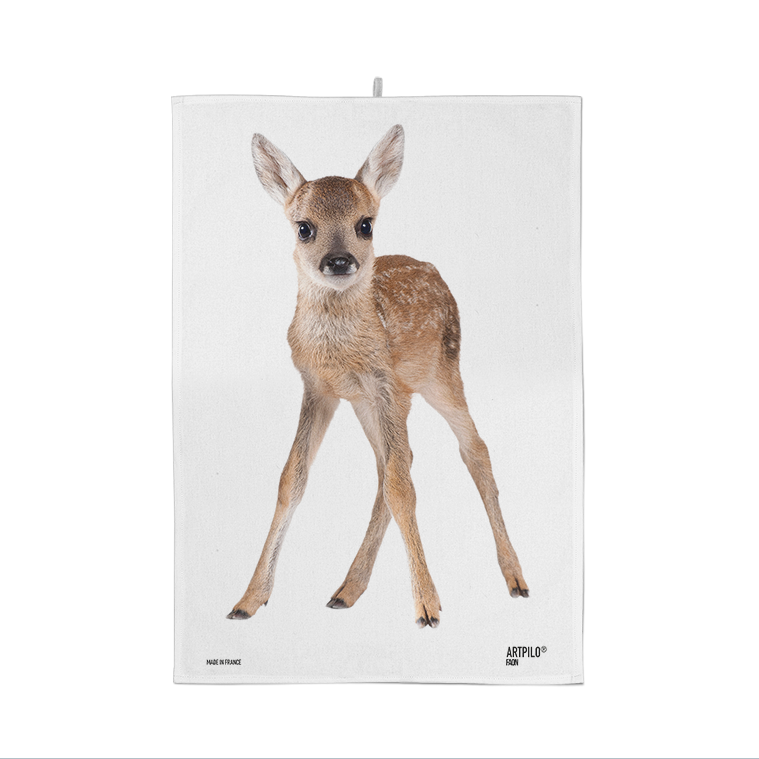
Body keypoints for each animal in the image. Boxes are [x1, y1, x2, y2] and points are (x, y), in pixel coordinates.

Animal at [227, 124, 528, 628]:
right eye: (303, 227)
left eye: (365, 224)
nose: (339, 261)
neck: (341, 352)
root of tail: (434, 270)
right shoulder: (320, 389)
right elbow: (293, 479)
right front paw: (248, 599)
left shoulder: (384, 382)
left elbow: (402, 488)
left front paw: (427, 606)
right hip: (380, 403)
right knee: (394, 464)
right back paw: (347, 590)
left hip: (441, 374)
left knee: (473, 451)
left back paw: (515, 578)